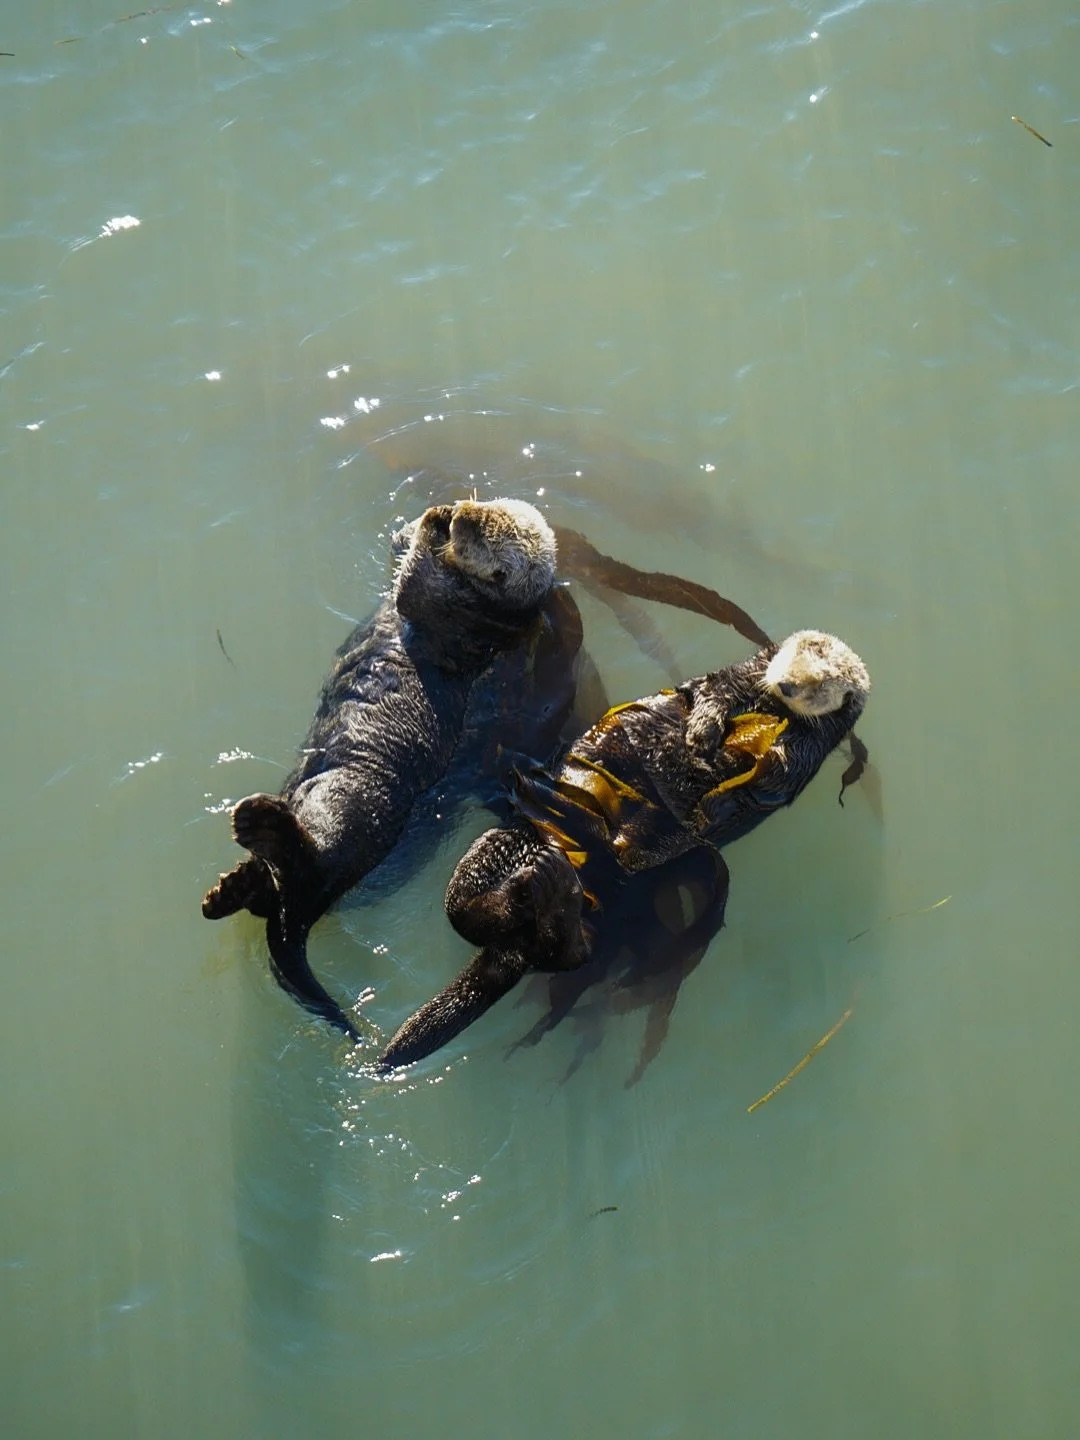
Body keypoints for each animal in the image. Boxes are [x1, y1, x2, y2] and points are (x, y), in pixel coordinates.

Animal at [376, 630, 870, 1069]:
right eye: (789, 661)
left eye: (818, 684)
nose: (785, 685)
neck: (771, 710)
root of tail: (514, 945)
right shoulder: (742, 675)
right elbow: (711, 692)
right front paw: (702, 734)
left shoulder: (815, 744)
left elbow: (782, 771)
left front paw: (737, 763)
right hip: (507, 841)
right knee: (464, 909)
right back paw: (535, 883)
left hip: (610, 907)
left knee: (568, 954)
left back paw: (551, 892)